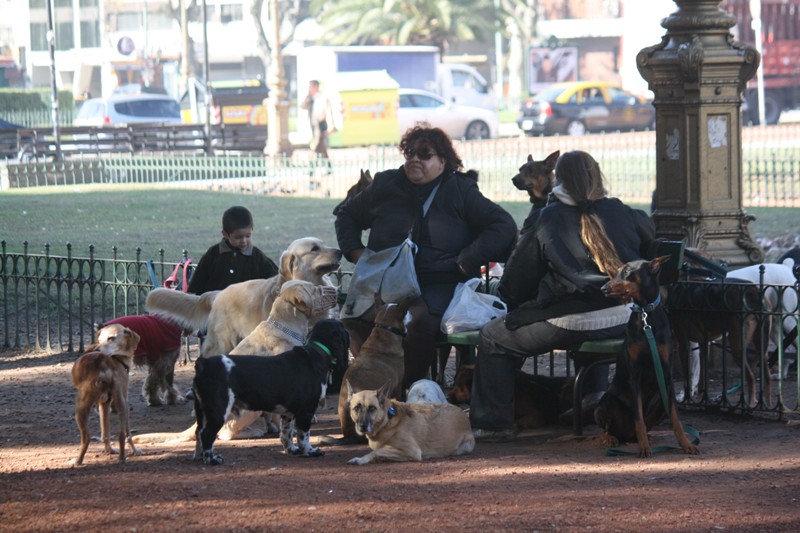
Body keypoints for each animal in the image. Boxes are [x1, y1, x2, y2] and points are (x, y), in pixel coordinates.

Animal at [70, 322, 142, 464]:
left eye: (111, 338)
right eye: (100, 339)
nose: (97, 349)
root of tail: (103, 365)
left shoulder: (103, 404)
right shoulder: (106, 404)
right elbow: (106, 432)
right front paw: (110, 450)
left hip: (81, 409)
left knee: (86, 438)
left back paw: (77, 461)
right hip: (122, 405)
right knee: (123, 434)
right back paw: (122, 458)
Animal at [346, 380, 476, 464]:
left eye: (372, 408)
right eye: (356, 408)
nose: (362, 426)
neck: (388, 421)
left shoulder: (412, 451)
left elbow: (377, 451)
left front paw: (361, 459)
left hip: (463, 447)